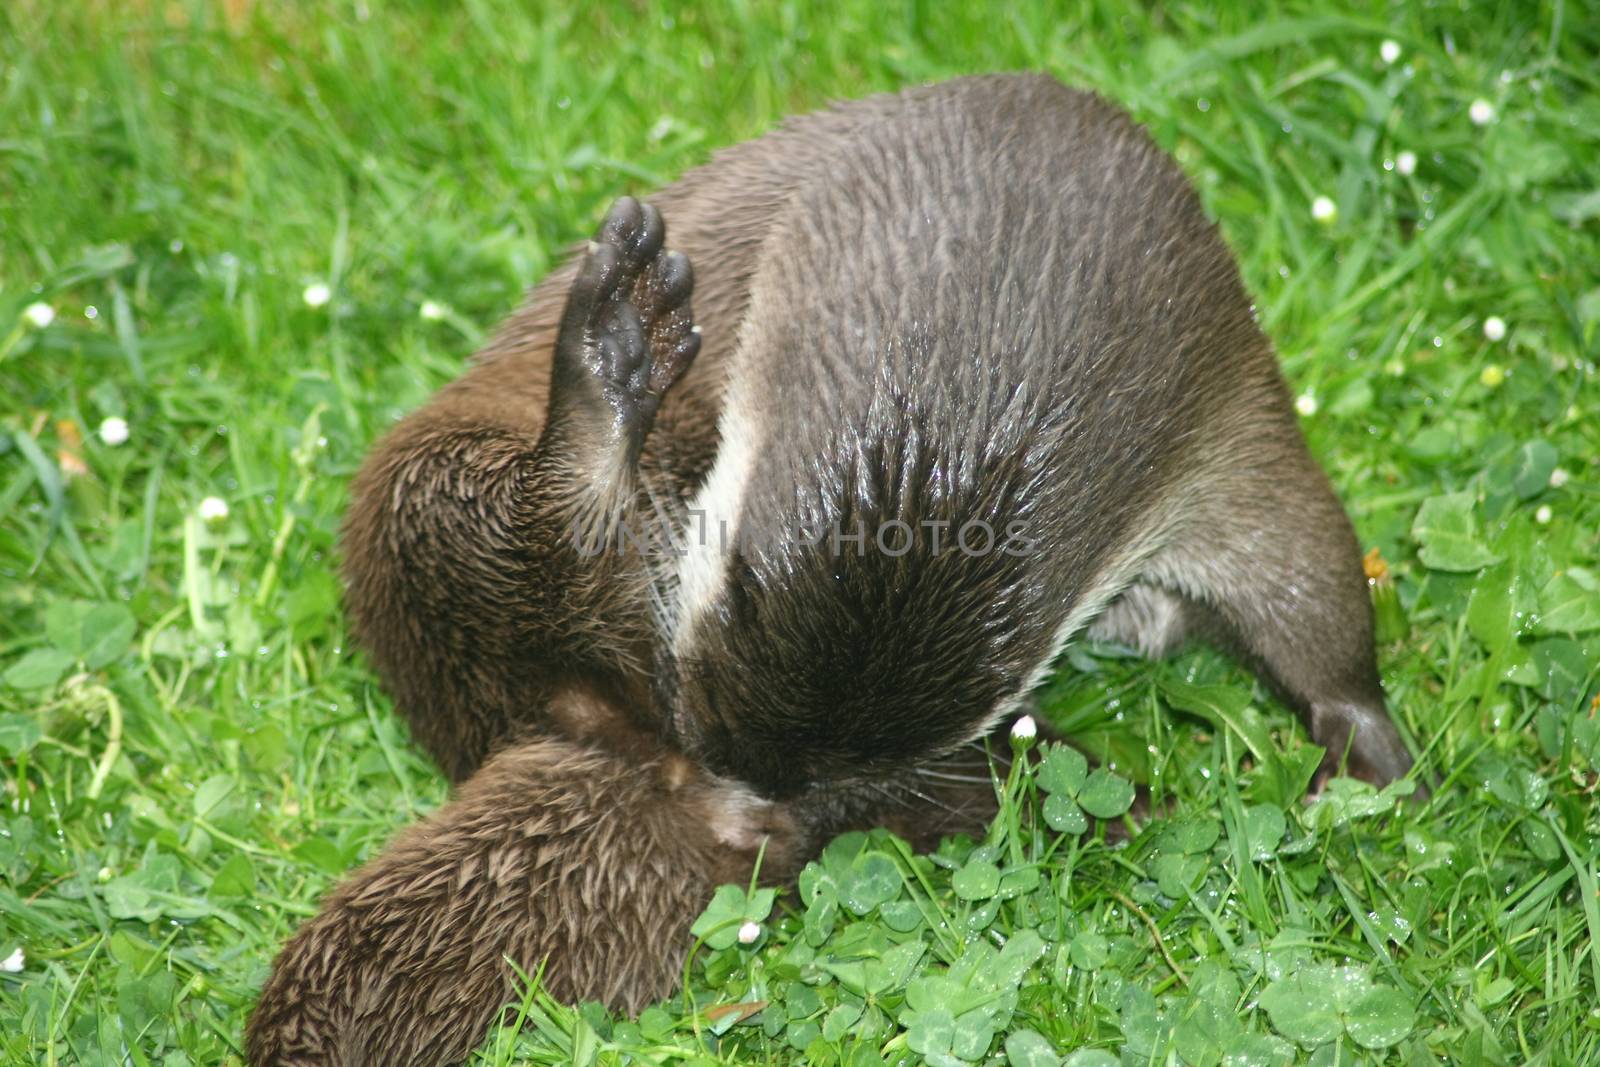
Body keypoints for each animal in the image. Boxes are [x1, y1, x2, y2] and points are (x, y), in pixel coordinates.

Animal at [243, 70, 1420, 1062]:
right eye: (701, 648)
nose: (748, 776)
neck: (994, 304)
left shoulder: (1205, 382)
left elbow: (1300, 560)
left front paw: (1364, 748)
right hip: (419, 498)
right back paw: (613, 363)